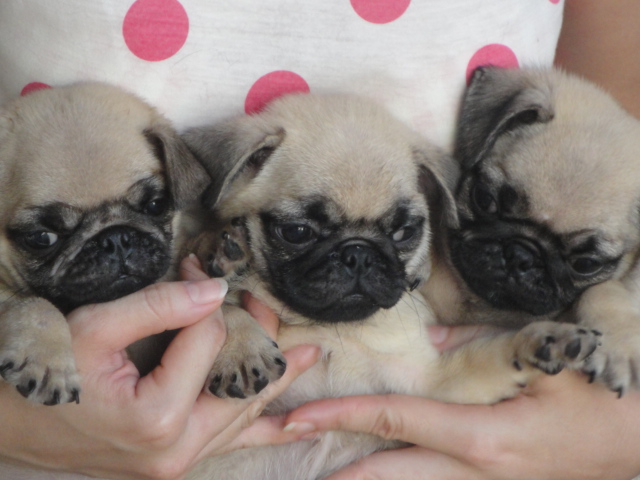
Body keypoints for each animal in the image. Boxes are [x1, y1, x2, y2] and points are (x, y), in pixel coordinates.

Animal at [179, 93, 599, 480]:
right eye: (297, 232)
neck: (332, 332)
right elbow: (220, 303)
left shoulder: (434, 385)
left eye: (403, 232)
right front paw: (240, 342)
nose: (359, 254)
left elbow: (496, 352)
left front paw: (544, 341)